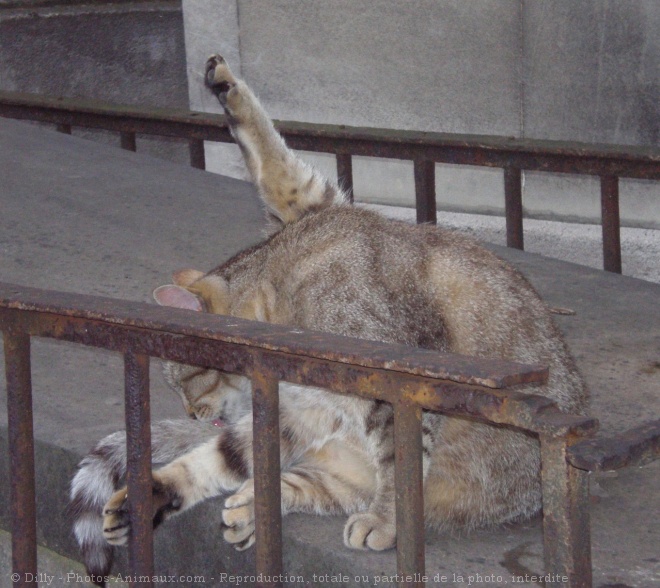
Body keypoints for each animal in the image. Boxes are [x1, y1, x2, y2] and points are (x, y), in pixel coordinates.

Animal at [69, 54, 584, 584]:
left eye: (184, 379)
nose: (191, 413)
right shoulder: (297, 402)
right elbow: (226, 455)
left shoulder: (395, 381)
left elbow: (401, 466)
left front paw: (388, 521)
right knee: (267, 471)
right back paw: (206, 501)